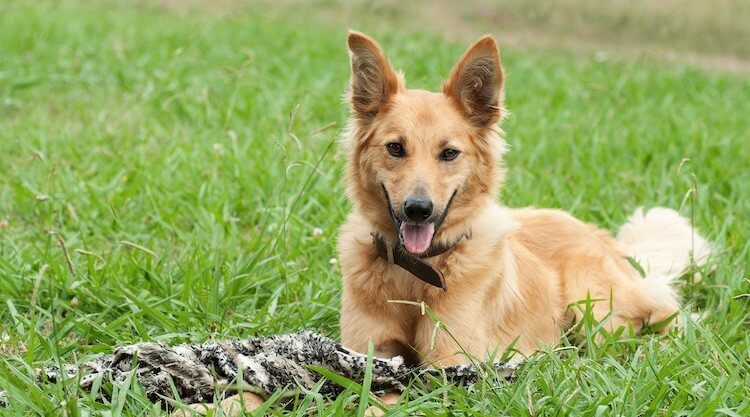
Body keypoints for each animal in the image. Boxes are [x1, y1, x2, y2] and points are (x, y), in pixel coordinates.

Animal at [173, 30, 712, 414]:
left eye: (449, 153)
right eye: (395, 148)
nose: (418, 209)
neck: (414, 277)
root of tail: (600, 236)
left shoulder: (448, 366)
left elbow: (383, 398)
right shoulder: (362, 350)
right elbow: (269, 387)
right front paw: (206, 405)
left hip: (596, 308)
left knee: (669, 320)